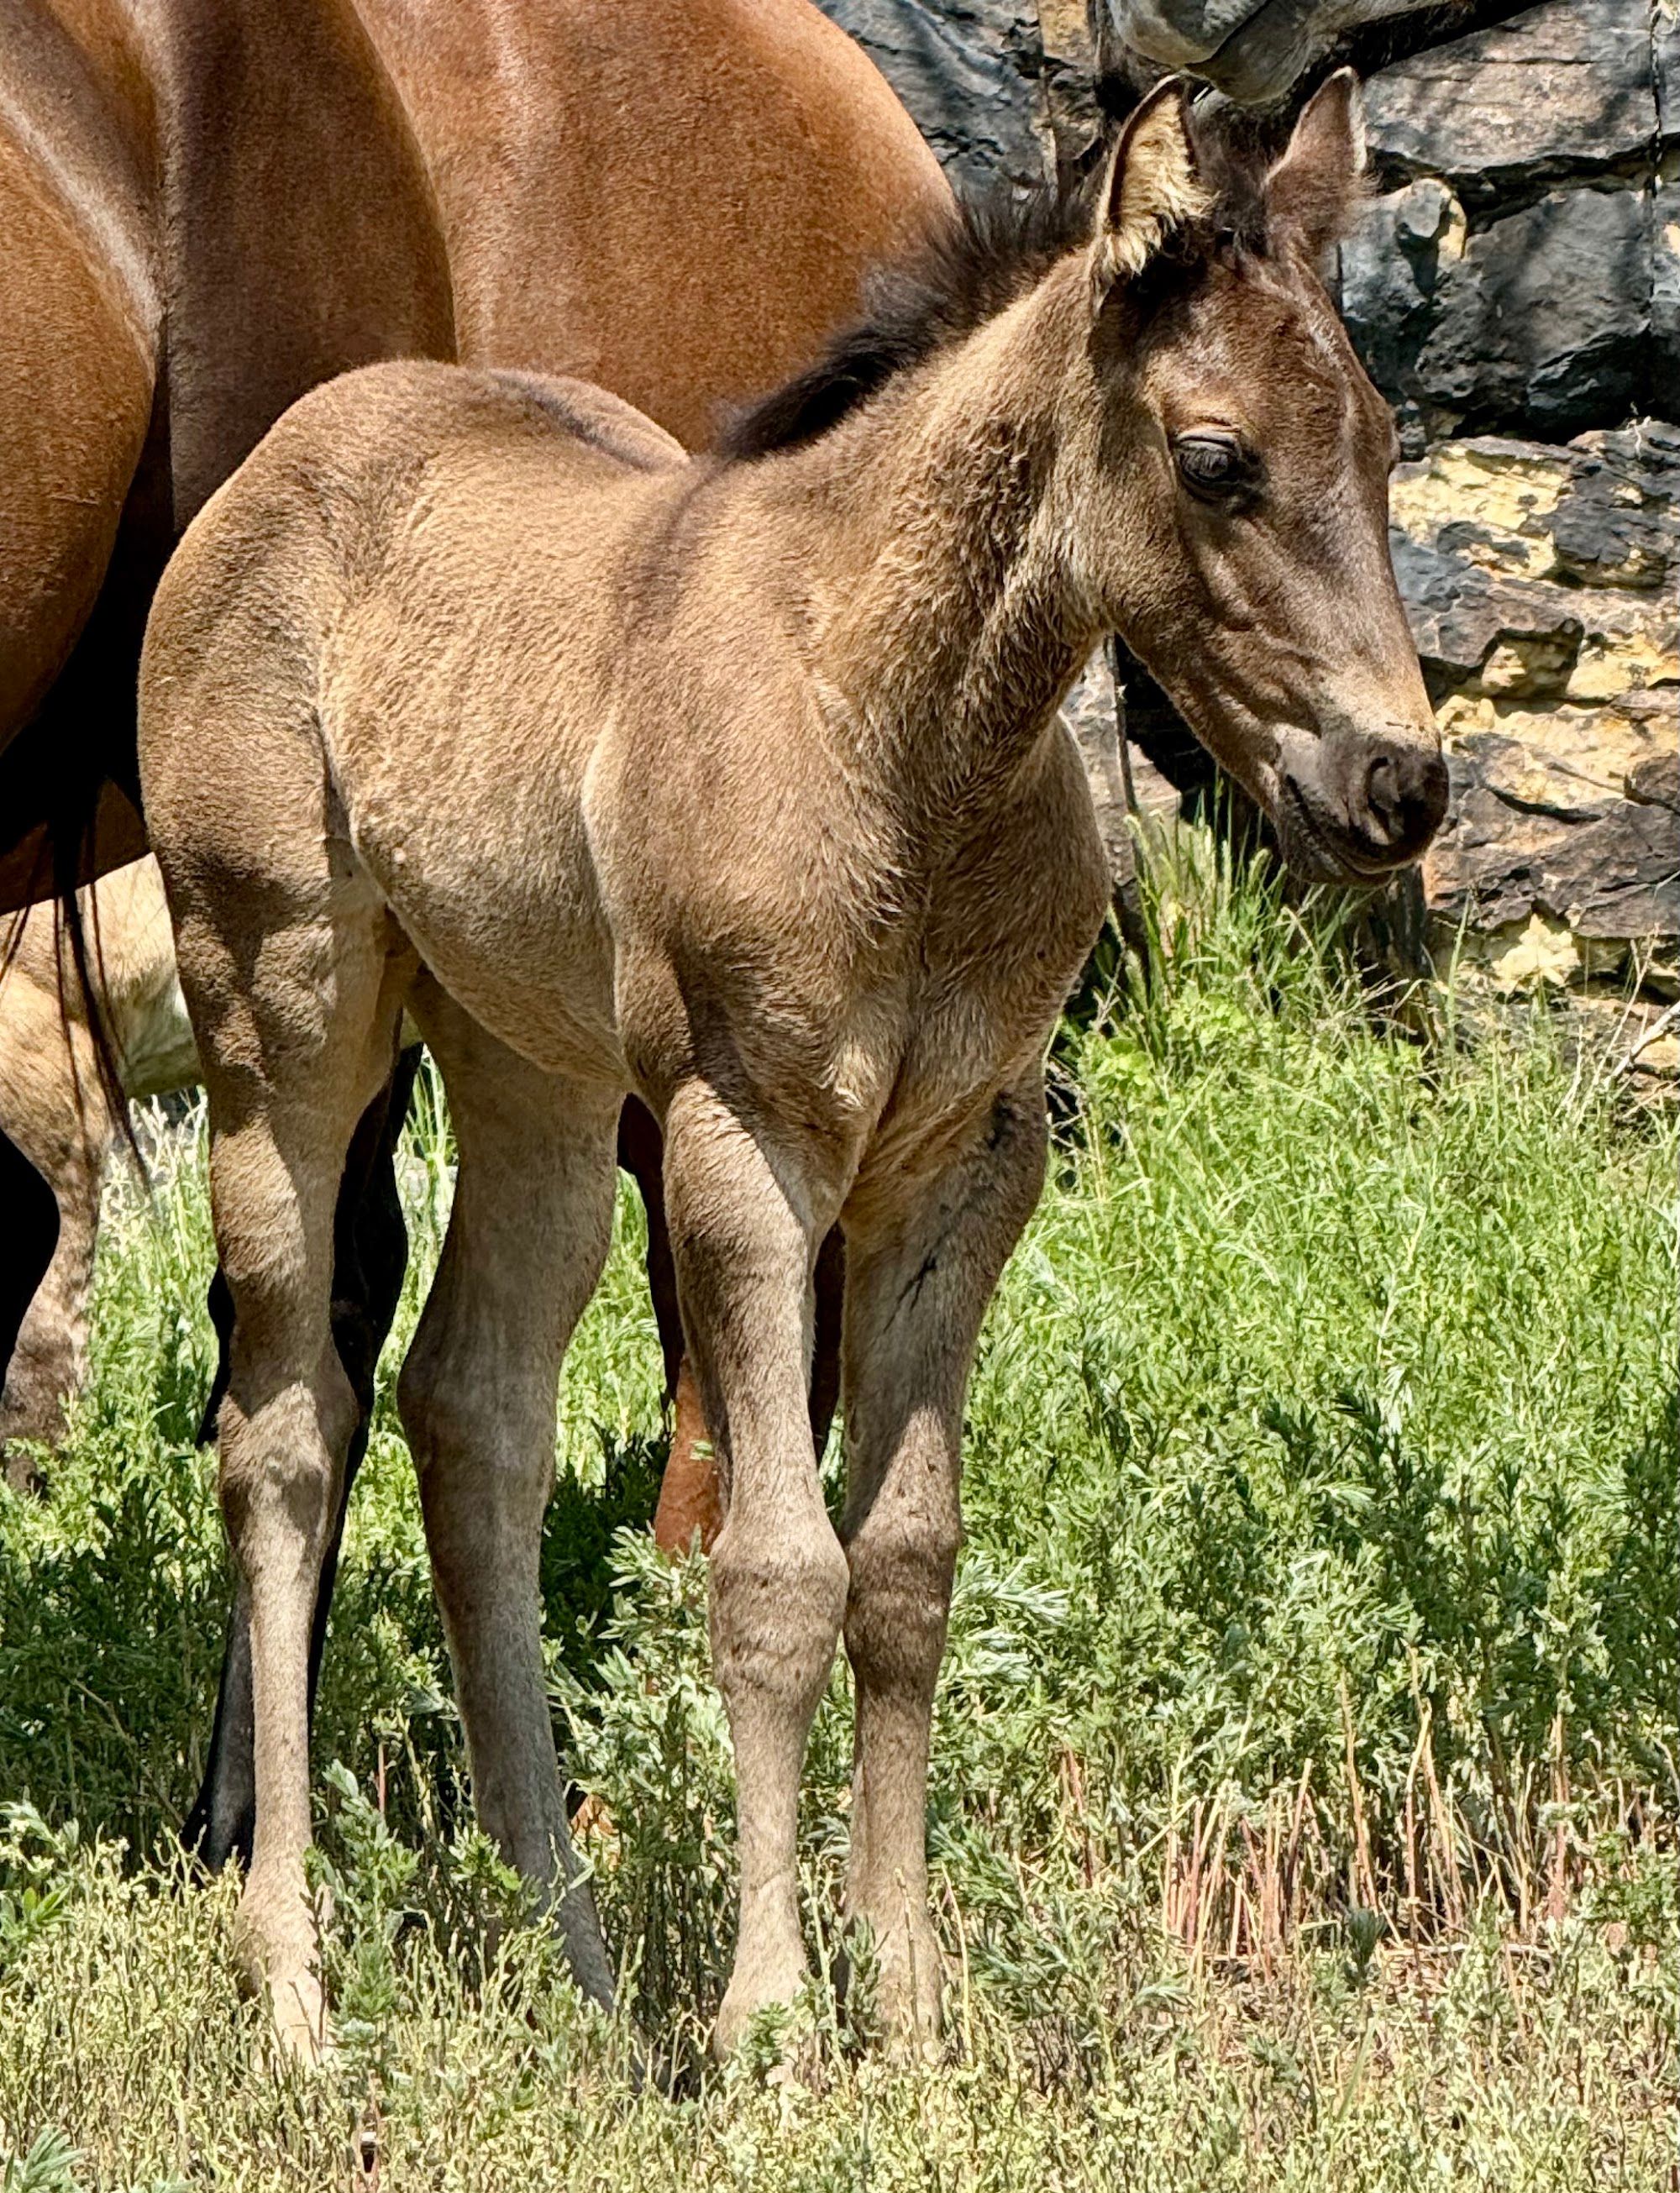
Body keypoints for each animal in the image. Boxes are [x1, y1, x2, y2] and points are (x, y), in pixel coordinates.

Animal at [136, 72, 1446, 2060]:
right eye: (1216, 459)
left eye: (1377, 437)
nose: (1400, 783)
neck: (905, 735)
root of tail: (278, 464)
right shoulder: (742, 1139)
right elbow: (773, 1574)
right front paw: (770, 2023)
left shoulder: (966, 1160)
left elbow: (903, 1567)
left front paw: (905, 2004)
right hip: (278, 1005)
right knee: (284, 1427)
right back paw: (289, 1975)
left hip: (522, 1060)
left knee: (473, 1410)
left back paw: (579, 1963)